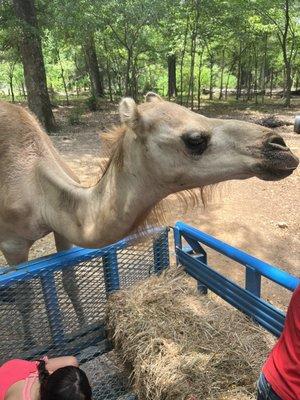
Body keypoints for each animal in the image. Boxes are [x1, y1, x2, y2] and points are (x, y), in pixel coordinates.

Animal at [0, 91, 298, 346]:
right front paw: (30, 342)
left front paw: (82, 324)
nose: (279, 147)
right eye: (194, 139)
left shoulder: (62, 229)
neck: (37, 187)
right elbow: (27, 298)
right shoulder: (13, 244)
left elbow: (69, 281)